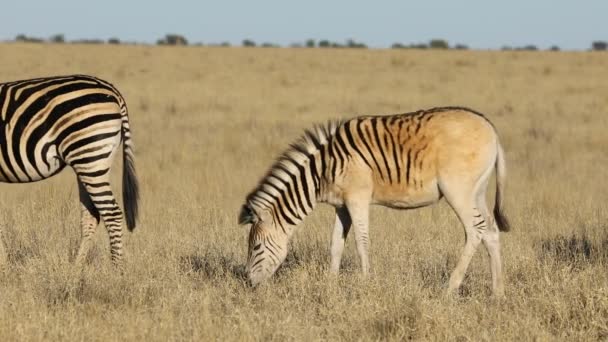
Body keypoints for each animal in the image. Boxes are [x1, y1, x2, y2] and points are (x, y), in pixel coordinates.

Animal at [0, 74, 139, 268]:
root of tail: (112, 90)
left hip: (90, 156)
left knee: (112, 214)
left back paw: (116, 270)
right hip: (88, 162)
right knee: (91, 216)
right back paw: (75, 269)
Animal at [240, 107, 510, 296]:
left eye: (256, 247)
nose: (249, 284)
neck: (322, 170)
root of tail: (491, 127)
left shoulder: (357, 198)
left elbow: (361, 242)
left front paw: (365, 283)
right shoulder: (342, 206)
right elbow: (335, 245)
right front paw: (331, 285)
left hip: (457, 189)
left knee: (475, 230)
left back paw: (450, 288)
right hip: (478, 191)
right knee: (491, 230)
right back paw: (497, 293)